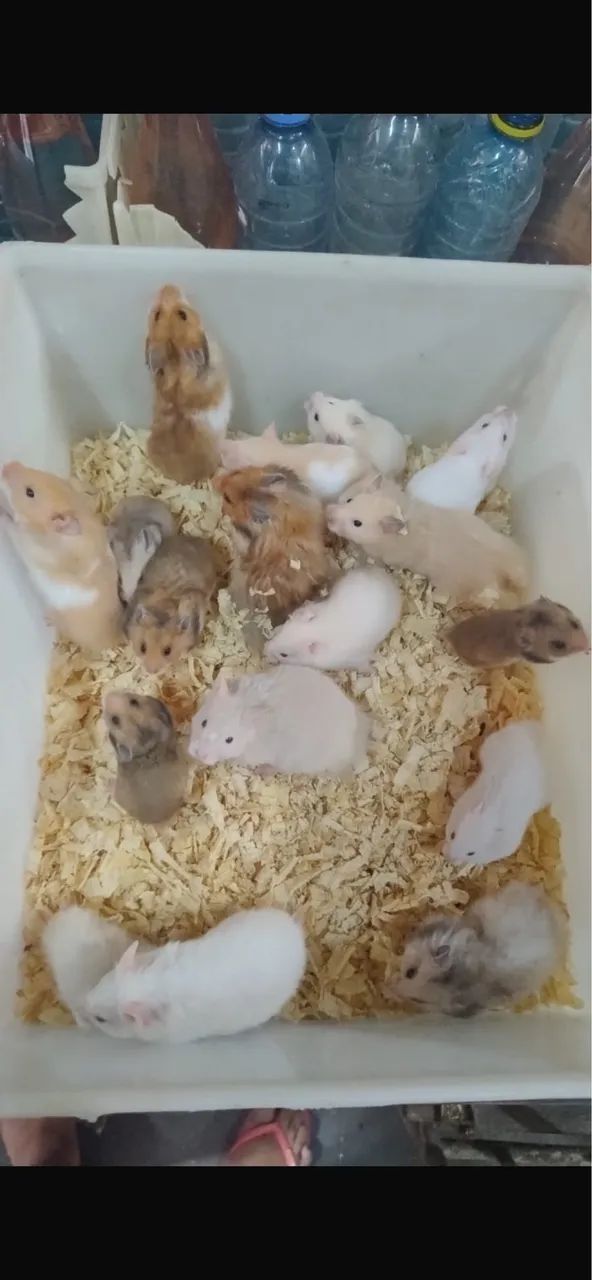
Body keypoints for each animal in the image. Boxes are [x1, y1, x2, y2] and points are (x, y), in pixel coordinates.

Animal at [0, 461, 122, 651]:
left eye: (30, 492)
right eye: (42, 472)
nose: (7, 464)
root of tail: (113, 640)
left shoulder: (28, 543)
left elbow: (11, 526)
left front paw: (1, 513)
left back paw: (48, 619)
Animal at [265, 568, 402, 672]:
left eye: (284, 655)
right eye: (282, 630)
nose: (265, 649)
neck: (317, 630)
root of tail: (389, 579)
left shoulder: (355, 658)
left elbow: (364, 663)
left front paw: (372, 670)